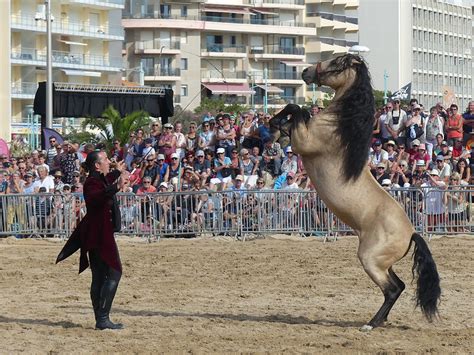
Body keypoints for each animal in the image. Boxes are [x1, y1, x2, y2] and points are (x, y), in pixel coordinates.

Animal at [270, 53, 440, 330]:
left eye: (335, 63)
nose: (306, 72)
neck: (337, 124)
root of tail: (412, 233)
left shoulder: (303, 142)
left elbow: (297, 109)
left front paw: (275, 123)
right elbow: (295, 111)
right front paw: (275, 124)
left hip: (370, 259)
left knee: (392, 289)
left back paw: (370, 324)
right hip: (383, 263)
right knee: (400, 285)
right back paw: (380, 320)